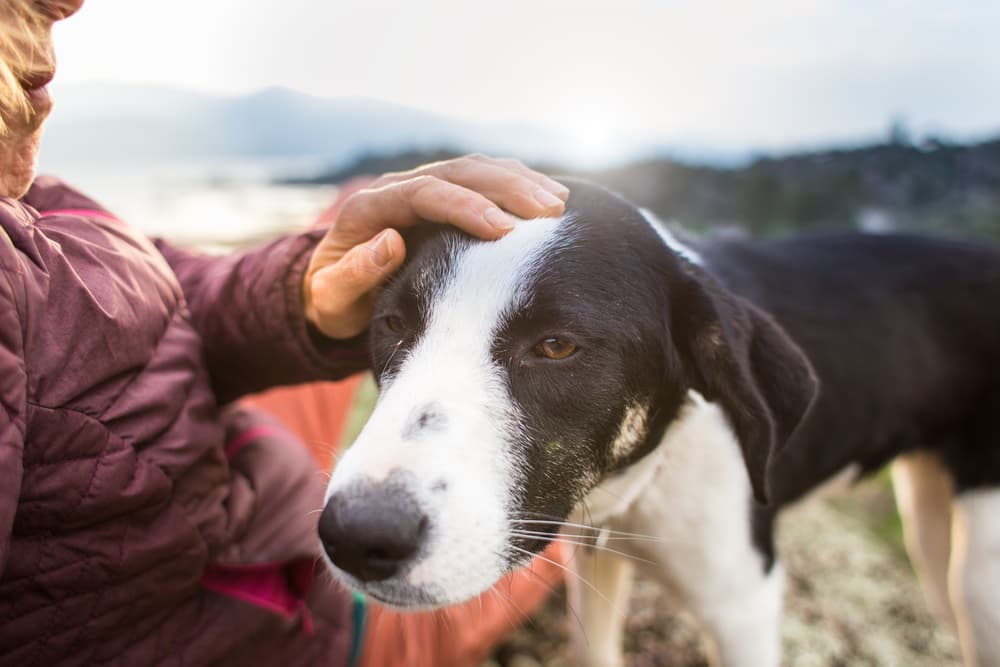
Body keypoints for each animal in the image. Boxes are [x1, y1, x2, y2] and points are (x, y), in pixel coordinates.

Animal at [318, 180, 1000, 664]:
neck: (643, 482)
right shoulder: (595, 560)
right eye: (392, 323)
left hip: (979, 577)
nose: (356, 535)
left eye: (558, 345)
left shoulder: (745, 609)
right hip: (929, 523)